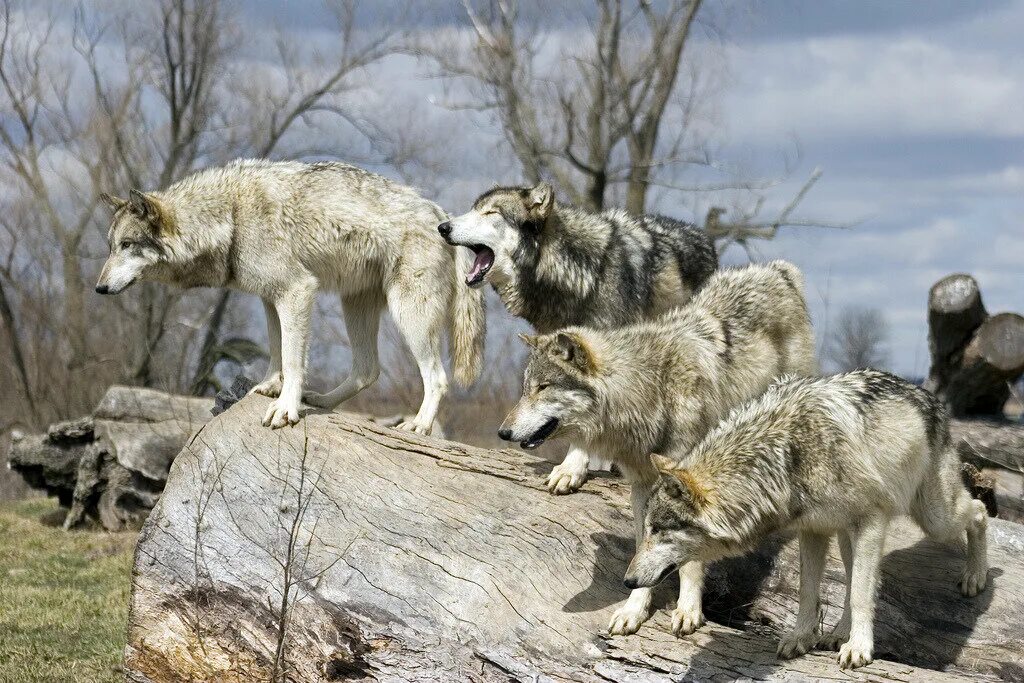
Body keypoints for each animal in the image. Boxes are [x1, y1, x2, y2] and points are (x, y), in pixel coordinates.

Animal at [96, 158, 483, 432]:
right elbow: (276, 350)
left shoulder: (297, 291)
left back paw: (419, 425)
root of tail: (443, 216)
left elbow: (294, 360)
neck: (230, 217)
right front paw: (270, 386)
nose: (98, 288)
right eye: (111, 247)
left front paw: (286, 409)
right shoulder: (270, 299)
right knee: (368, 370)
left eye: (127, 245)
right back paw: (323, 401)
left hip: (409, 317)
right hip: (354, 307)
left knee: (437, 378)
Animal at [436, 180, 716, 491]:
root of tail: (701, 236)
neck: (577, 274)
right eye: (474, 209)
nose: (443, 227)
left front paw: (571, 468)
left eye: (490, 213)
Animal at [626, 370, 987, 671]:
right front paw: (802, 637)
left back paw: (976, 576)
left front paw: (860, 648)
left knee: (980, 510)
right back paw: (838, 633)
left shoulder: (871, 522)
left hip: (934, 518)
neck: (787, 455)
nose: (628, 581)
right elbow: (809, 590)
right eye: (646, 529)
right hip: (847, 535)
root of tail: (928, 395)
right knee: (854, 579)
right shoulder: (812, 530)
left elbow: (861, 594)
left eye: (658, 529)